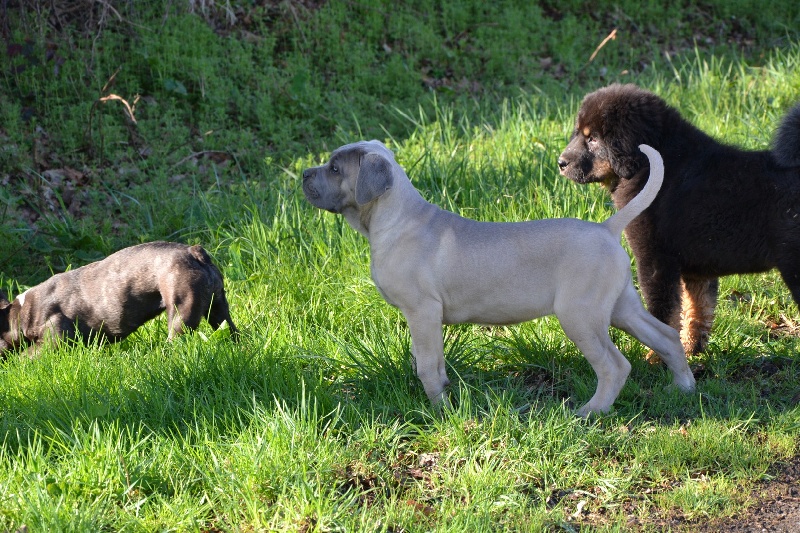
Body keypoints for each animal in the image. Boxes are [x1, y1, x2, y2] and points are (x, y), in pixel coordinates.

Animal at [0, 242, 238, 354]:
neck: (20, 313)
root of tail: (194, 252)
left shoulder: (53, 340)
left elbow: (27, 355)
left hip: (182, 309)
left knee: (177, 334)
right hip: (217, 306)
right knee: (228, 326)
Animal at [556, 83, 800, 354]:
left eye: (593, 138)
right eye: (579, 133)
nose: (561, 162)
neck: (650, 164)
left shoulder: (655, 259)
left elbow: (662, 313)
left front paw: (655, 357)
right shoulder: (696, 269)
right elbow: (696, 310)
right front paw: (691, 349)